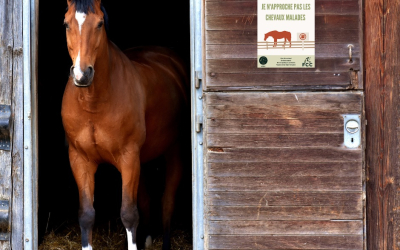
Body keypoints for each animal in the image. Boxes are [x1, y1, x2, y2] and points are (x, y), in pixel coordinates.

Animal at [61, 0, 189, 249]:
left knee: (167, 200)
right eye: (66, 24)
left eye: (100, 24)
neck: (93, 103)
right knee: (147, 198)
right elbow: (86, 215)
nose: (82, 75)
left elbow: (129, 214)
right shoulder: (80, 159)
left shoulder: (128, 157)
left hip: (173, 151)